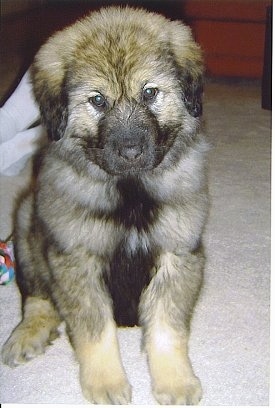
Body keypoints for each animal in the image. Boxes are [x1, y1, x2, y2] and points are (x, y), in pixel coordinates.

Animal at [1, 6, 209, 404]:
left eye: (150, 93)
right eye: (98, 101)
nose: (130, 151)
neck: (129, 190)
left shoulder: (177, 252)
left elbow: (167, 327)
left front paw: (175, 382)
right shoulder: (76, 257)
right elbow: (95, 330)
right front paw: (106, 383)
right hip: (26, 225)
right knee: (37, 297)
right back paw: (28, 333)